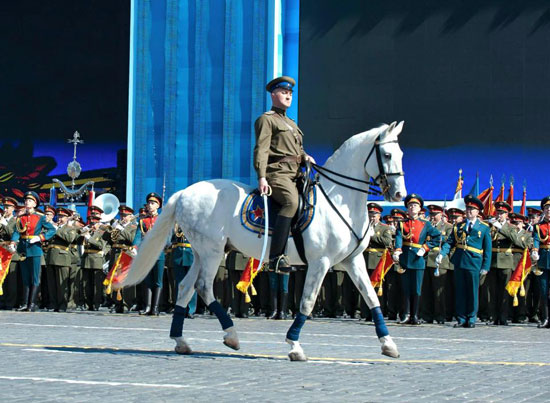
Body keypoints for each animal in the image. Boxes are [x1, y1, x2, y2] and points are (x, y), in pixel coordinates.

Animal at [126, 121, 410, 362]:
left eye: (401, 154)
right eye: (386, 155)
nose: (399, 194)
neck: (339, 199)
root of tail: (185, 192)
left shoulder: (352, 261)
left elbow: (371, 297)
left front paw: (389, 344)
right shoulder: (320, 262)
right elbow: (307, 301)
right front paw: (294, 346)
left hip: (201, 252)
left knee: (186, 287)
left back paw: (181, 340)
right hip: (211, 251)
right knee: (204, 287)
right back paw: (231, 335)